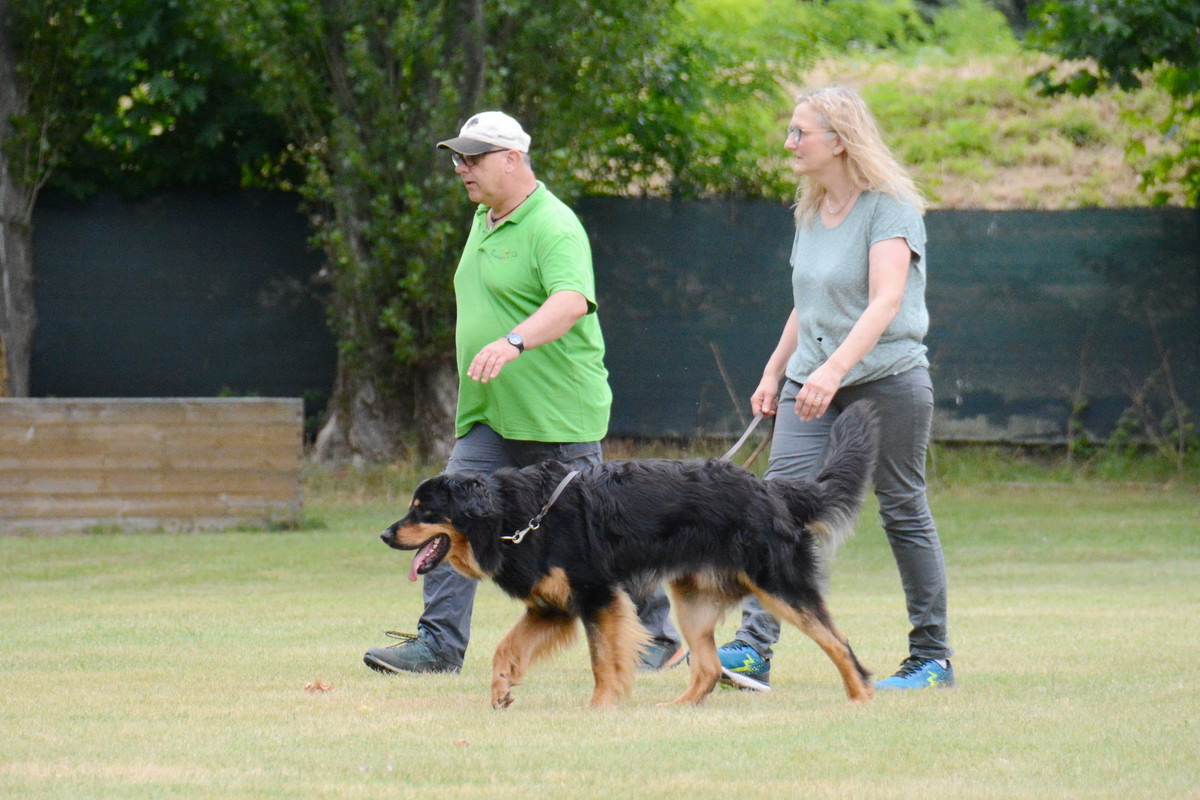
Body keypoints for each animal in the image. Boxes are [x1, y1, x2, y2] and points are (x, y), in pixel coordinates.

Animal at [384, 400, 883, 705]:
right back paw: (675, 707)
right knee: (706, 668)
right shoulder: (552, 607)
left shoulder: (597, 597)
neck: (515, 516)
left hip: (780, 585)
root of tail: (772, 490)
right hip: (694, 600)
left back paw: (862, 698)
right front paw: (502, 689)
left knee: (839, 643)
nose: (386, 535)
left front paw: (601, 707)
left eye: (422, 509)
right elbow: (504, 648)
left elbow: (604, 661)